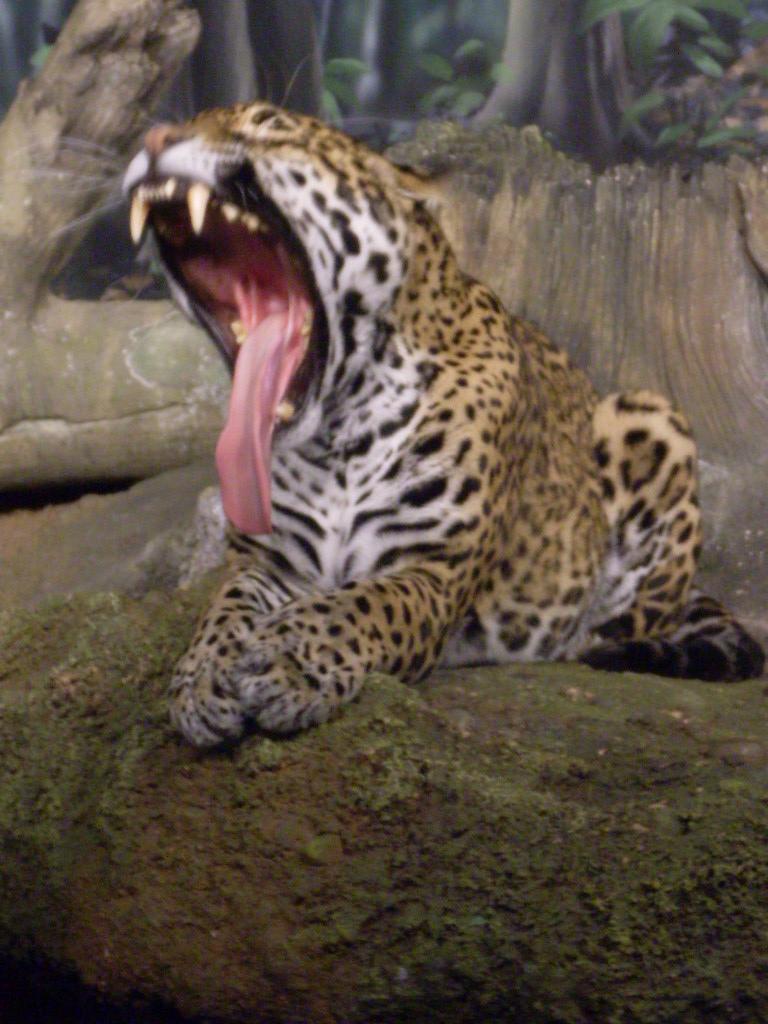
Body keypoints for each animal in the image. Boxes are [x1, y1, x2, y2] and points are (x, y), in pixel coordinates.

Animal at [123, 101, 765, 748]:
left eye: (267, 123)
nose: (155, 138)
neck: (337, 430)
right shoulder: (264, 561)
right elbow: (222, 610)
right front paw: (202, 679)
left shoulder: (433, 569)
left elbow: (359, 606)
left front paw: (287, 659)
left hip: (648, 413)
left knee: (627, 621)